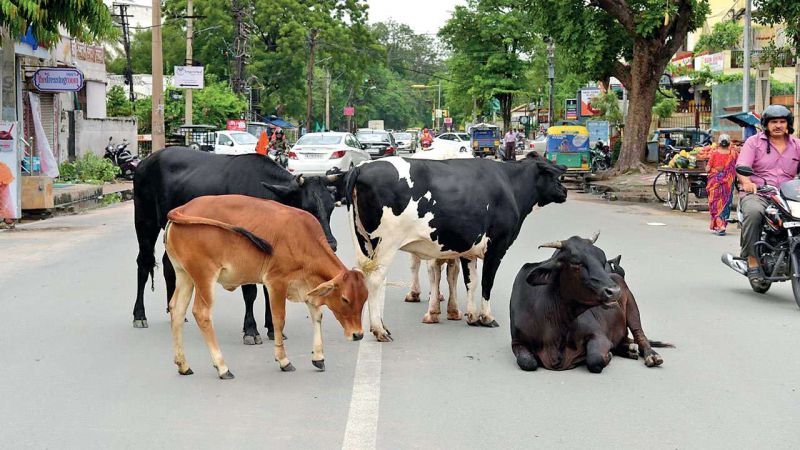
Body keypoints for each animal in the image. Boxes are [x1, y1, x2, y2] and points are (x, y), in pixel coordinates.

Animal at [133, 147, 340, 344]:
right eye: (306, 208)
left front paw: (272, 328)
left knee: (169, 265)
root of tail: (146, 161)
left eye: (331, 207)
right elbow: (250, 292)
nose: (330, 243)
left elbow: (268, 289)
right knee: (143, 262)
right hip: (145, 221)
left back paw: (174, 311)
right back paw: (139, 315)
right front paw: (251, 330)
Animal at [164, 195, 367, 378]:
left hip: (184, 275)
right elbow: (279, 320)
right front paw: (284, 360)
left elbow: (317, 316)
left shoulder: (306, 286)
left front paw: (318, 357)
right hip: (204, 276)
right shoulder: (276, 282)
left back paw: (183, 365)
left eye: (364, 299)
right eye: (345, 298)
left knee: (177, 309)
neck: (303, 238)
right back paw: (222, 367)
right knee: (201, 313)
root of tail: (183, 208)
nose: (358, 335)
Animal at [344, 153, 568, 341]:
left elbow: (471, 282)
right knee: (376, 280)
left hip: (365, 243)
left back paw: (382, 326)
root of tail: (362, 167)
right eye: (554, 176)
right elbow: (486, 282)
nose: (565, 191)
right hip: (386, 243)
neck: (510, 185)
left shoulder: (469, 249)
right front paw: (486, 317)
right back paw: (379, 330)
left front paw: (472, 316)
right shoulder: (497, 247)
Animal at [510, 234, 672, 373]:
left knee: (639, 334)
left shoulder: (598, 335)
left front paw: (607, 356)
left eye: (602, 260)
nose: (614, 291)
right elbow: (528, 363)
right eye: (575, 263)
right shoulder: (517, 341)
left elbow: (594, 359)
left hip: (632, 307)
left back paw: (651, 355)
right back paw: (629, 349)